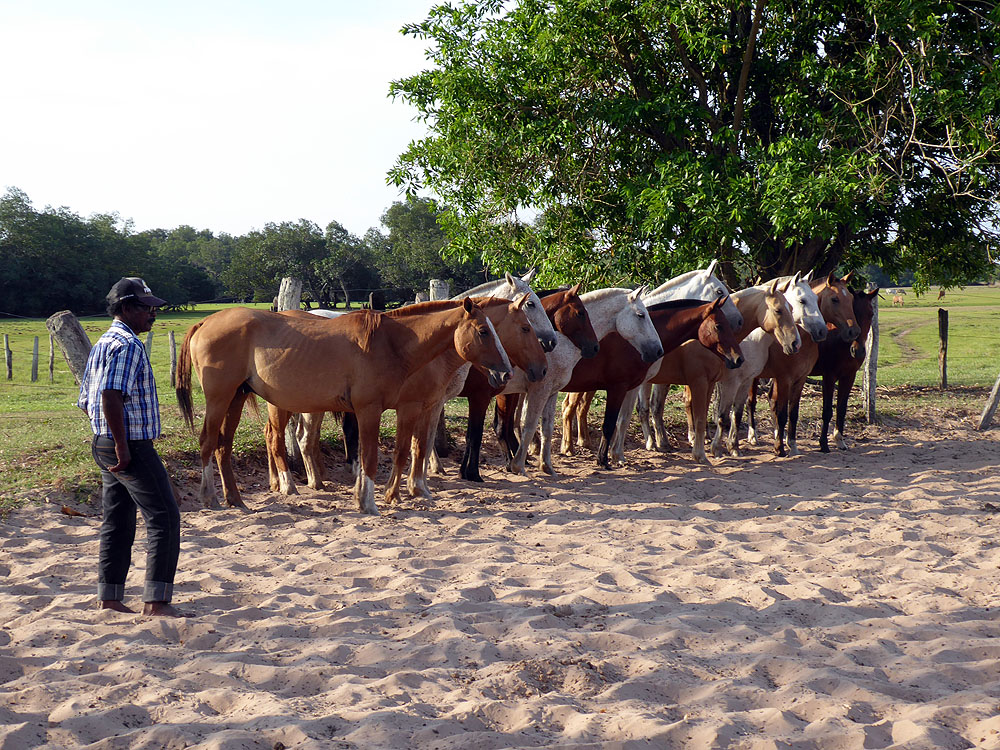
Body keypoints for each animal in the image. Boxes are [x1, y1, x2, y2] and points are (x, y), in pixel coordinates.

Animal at [175, 300, 512, 516]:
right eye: (483, 331)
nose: (506, 373)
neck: (388, 343)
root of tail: (206, 321)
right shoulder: (370, 409)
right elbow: (371, 457)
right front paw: (370, 503)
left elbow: (373, 455)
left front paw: (365, 498)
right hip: (220, 398)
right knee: (208, 442)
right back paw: (212, 498)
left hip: (236, 398)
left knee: (223, 446)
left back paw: (235, 500)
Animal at [266, 296, 548, 502]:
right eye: (525, 327)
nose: (543, 367)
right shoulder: (414, 405)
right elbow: (412, 447)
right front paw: (408, 488)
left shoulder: (431, 404)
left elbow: (421, 445)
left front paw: (419, 486)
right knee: (292, 438)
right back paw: (298, 483)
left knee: (285, 436)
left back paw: (294, 481)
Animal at [556, 296, 744, 468]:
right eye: (718, 325)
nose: (738, 358)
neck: (634, 341)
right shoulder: (617, 388)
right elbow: (609, 424)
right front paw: (603, 460)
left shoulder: (631, 388)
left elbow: (623, 420)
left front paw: (617, 456)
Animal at [748, 274, 864, 456]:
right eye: (835, 299)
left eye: (851, 299)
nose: (854, 331)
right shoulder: (785, 379)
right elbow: (783, 413)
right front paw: (780, 448)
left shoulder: (800, 379)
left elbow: (793, 413)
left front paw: (792, 445)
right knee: (751, 402)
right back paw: (753, 437)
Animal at [812, 288, 876, 452]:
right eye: (853, 311)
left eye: (871, 314)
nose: (858, 351)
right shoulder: (828, 377)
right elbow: (827, 410)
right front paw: (823, 444)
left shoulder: (848, 376)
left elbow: (841, 408)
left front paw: (839, 440)